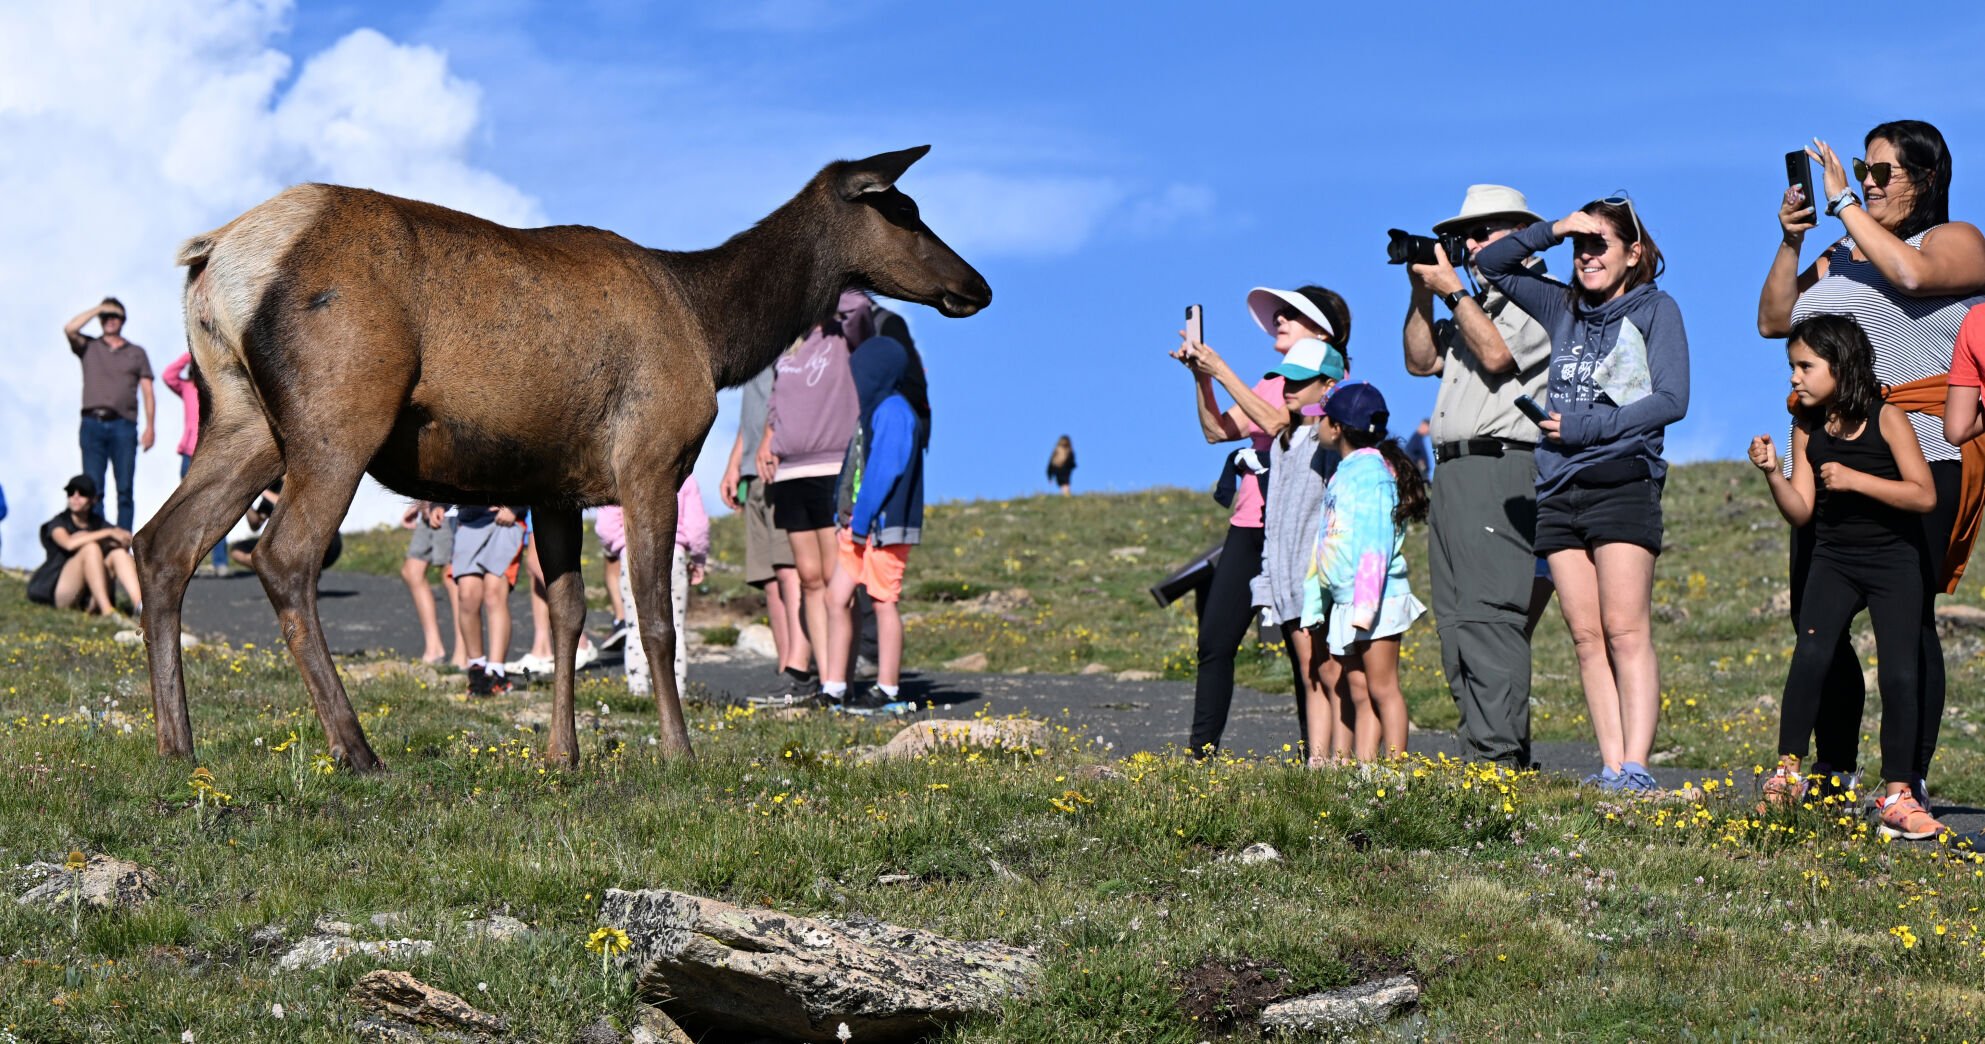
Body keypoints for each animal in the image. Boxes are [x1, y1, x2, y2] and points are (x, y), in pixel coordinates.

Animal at [134, 145, 990, 771]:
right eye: (904, 211)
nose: (976, 285)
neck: (715, 333)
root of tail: (213, 257)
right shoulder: (651, 460)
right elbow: (654, 619)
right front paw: (678, 752)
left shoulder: (552, 486)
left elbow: (568, 612)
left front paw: (562, 754)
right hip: (338, 412)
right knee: (284, 555)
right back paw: (356, 749)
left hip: (243, 418)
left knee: (161, 542)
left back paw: (178, 746)